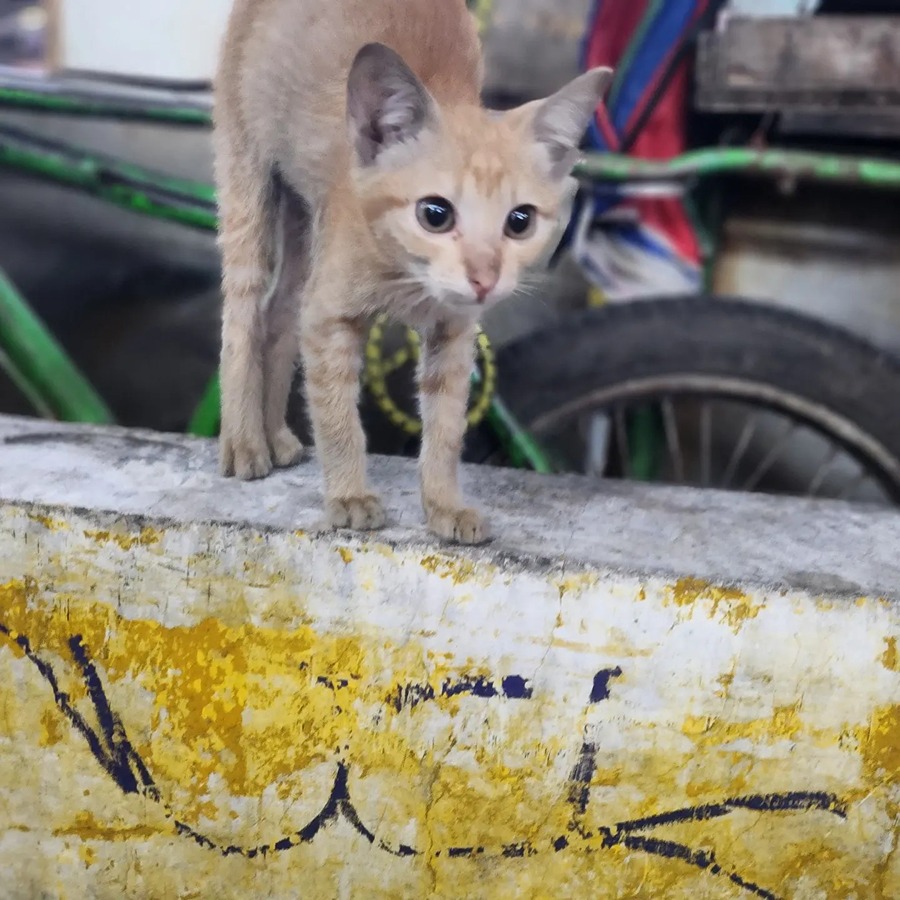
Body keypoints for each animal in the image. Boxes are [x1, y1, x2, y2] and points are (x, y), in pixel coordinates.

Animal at [214, 0, 616, 540]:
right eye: (435, 214)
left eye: (520, 221)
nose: (484, 278)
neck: (405, 278)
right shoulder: (329, 318)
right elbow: (338, 416)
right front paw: (350, 495)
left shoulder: (455, 334)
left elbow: (445, 426)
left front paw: (444, 504)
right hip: (247, 175)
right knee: (243, 309)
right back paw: (244, 441)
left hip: (304, 222)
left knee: (279, 311)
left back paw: (275, 433)